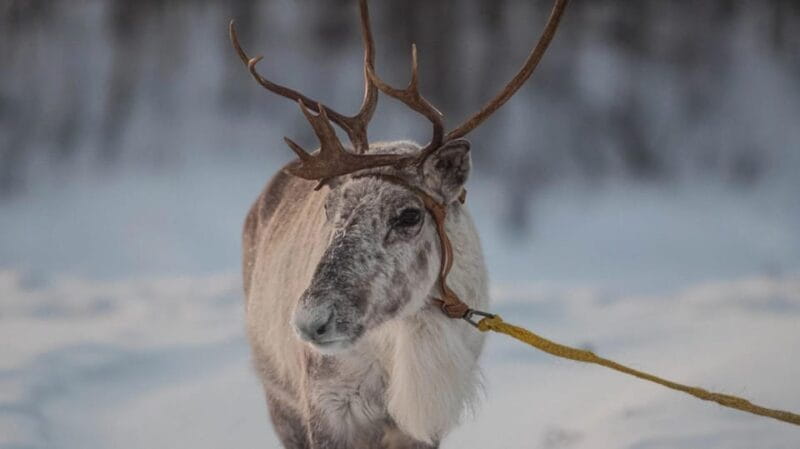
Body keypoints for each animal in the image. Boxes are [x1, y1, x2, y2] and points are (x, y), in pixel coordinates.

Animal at [232, 0, 567, 447]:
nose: (309, 321)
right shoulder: (326, 408)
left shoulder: (420, 426)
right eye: (329, 207)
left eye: (409, 214)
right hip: (279, 402)